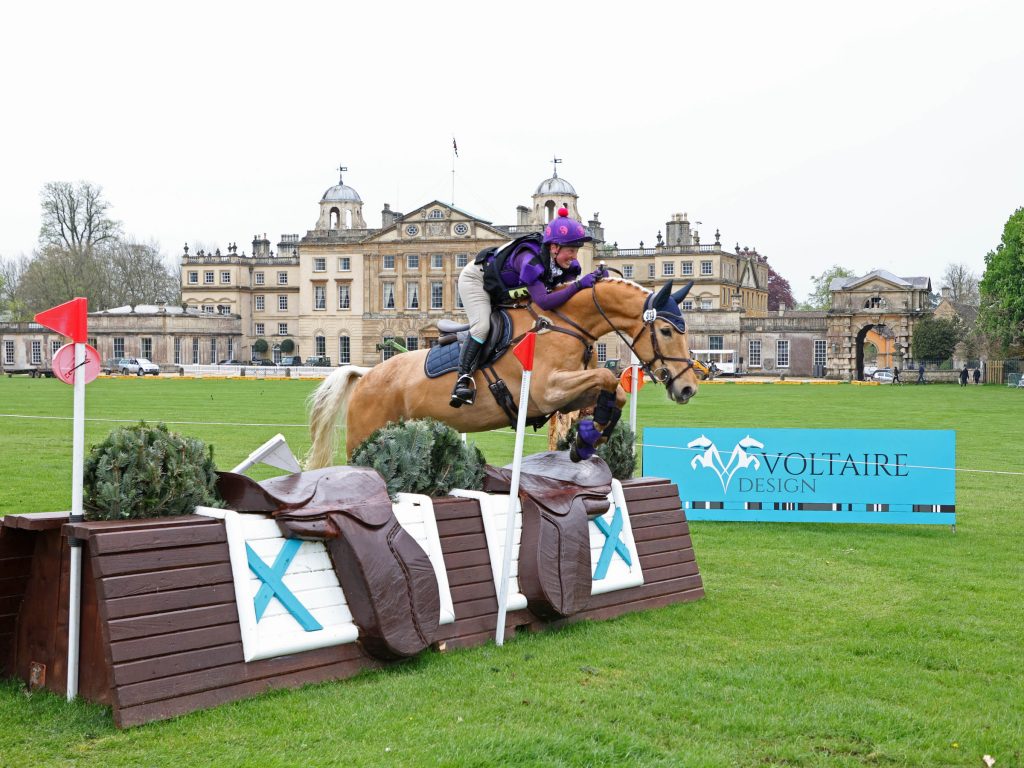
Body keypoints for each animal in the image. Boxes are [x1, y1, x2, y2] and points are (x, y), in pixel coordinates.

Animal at [303, 280, 704, 466]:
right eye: (666, 331)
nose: (688, 388)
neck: (566, 323)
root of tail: (365, 375)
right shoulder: (547, 391)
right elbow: (607, 379)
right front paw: (588, 438)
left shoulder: (568, 394)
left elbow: (614, 390)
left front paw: (589, 438)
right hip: (361, 439)